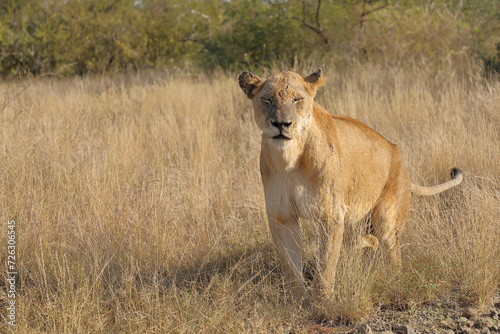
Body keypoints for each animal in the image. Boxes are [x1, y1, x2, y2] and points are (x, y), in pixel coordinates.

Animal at [236, 69, 462, 306]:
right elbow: (290, 265)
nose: (281, 124)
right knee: (366, 242)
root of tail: (404, 167)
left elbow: (326, 263)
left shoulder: (331, 214)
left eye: (297, 99)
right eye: (268, 99)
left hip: (385, 217)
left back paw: (393, 278)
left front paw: (323, 302)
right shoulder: (282, 216)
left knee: (393, 252)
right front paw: (299, 301)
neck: (290, 158)